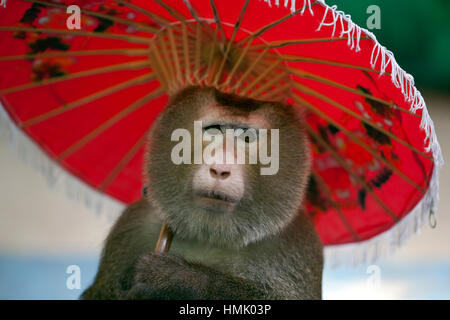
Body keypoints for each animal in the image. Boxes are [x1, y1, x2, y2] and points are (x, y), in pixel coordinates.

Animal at [81, 85, 324, 300]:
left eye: (247, 138)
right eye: (214, 130)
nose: (220, 169)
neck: (210, 237)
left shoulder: (296, 244)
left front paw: (176, 279)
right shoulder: (132, 226)